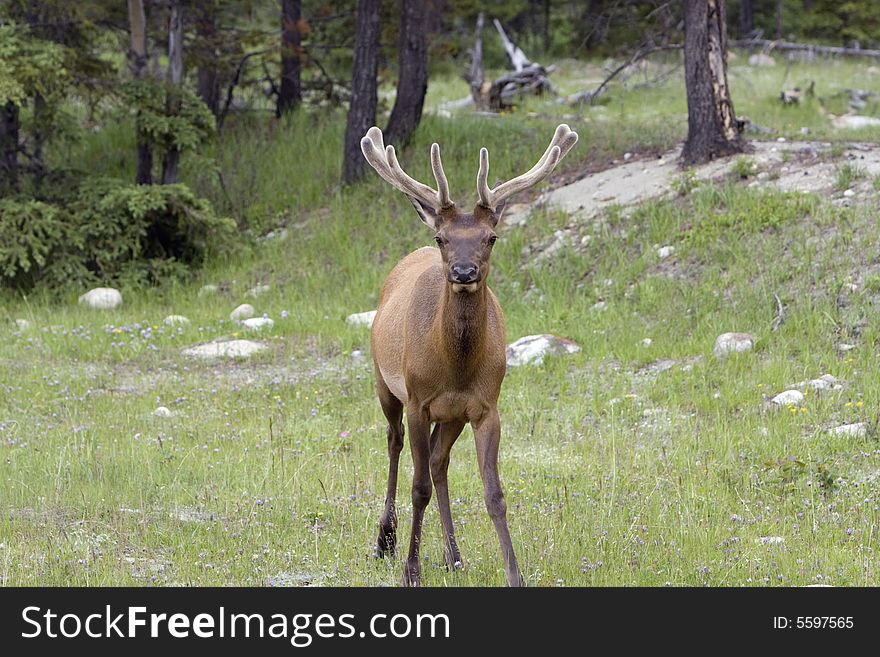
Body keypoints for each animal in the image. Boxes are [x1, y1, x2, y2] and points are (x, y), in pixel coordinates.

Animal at [358, 119, 576, 584]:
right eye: (442, 237)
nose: (463, 271)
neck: (454, 367)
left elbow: (494, 493)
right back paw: (385, 540)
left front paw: (514, 573)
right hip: (384, 383)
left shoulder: (485, 406)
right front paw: (412, 570)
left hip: (451, 416)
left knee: (439, 461)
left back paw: (453, 554)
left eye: (491, 237)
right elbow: (417, 487)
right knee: (394, 443)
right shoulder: (419, 401)